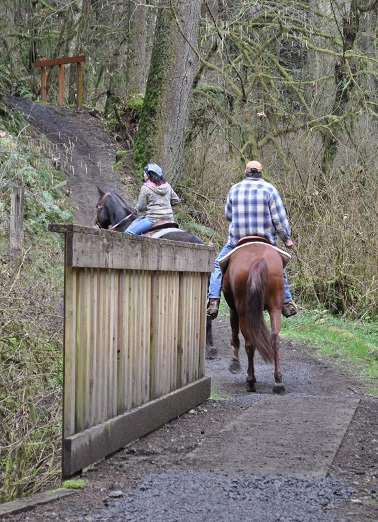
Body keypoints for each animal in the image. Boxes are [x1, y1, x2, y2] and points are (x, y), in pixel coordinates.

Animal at [220, 238, 288, 392]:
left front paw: (235, 364)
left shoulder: (233, 309)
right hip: (275, 307)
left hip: (243, 311)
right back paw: (278, 382)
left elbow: (235, 336)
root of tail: (258, 259)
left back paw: (250, 382)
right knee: (275, 338)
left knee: (250, 344)